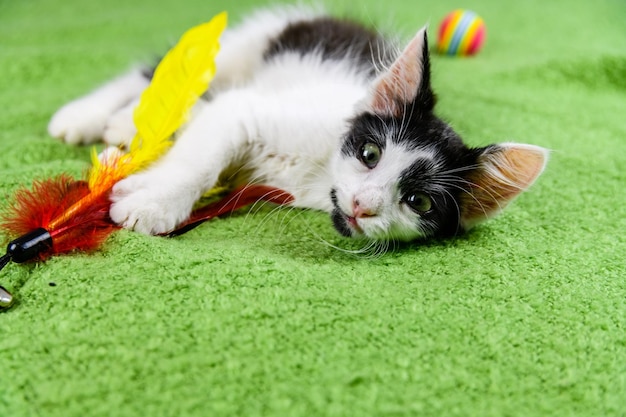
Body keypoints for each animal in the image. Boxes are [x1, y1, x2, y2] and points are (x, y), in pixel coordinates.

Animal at [47, 5, 544, 240]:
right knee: (159, 74)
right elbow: (202, 157)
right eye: (370, 154)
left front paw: (139, 185)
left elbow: (203, 131)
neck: (318, 171)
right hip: (249, 43)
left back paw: (121, 126)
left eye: (418, 202)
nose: (362, 205)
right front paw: (152, 205)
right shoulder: (247, 110)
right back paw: (86, 117)